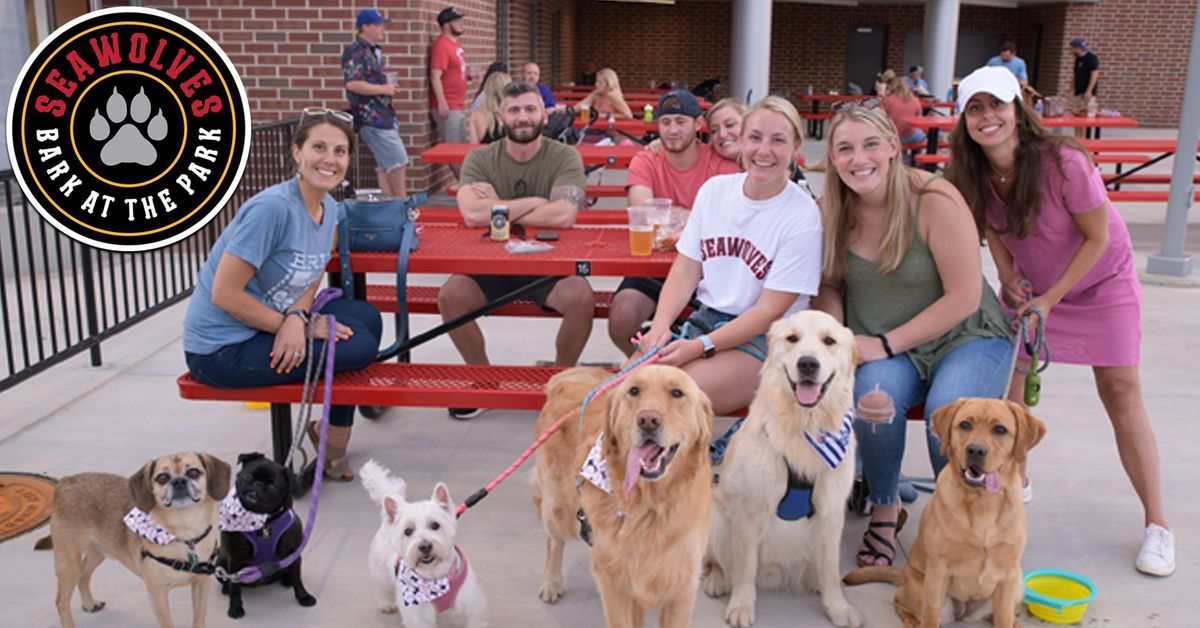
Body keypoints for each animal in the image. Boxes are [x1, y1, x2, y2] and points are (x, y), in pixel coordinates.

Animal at [35, 451, 231, 628]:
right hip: (68, 563)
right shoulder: (157, 594)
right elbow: (168, 624)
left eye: (193, 472)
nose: (179, 481)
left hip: (98, 553)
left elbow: (198, 620)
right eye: (162, 477)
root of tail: (64, 482)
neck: (185, 532)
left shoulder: (201, 585)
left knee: (83, 576)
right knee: (61, 601)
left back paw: (89, 603)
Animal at [840, 398, 1046, 628]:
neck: (982, 503)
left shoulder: (1008, 575)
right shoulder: (938, 571)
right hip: (921, 592)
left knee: (1002, 613)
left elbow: (1003, 617)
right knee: (901, 602)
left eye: (1000, 429)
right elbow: (930, 616)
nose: (975, 450)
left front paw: (1008, 621)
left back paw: (1014, 622)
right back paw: (912, 622)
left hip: (1017, 583)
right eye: (965, 425)